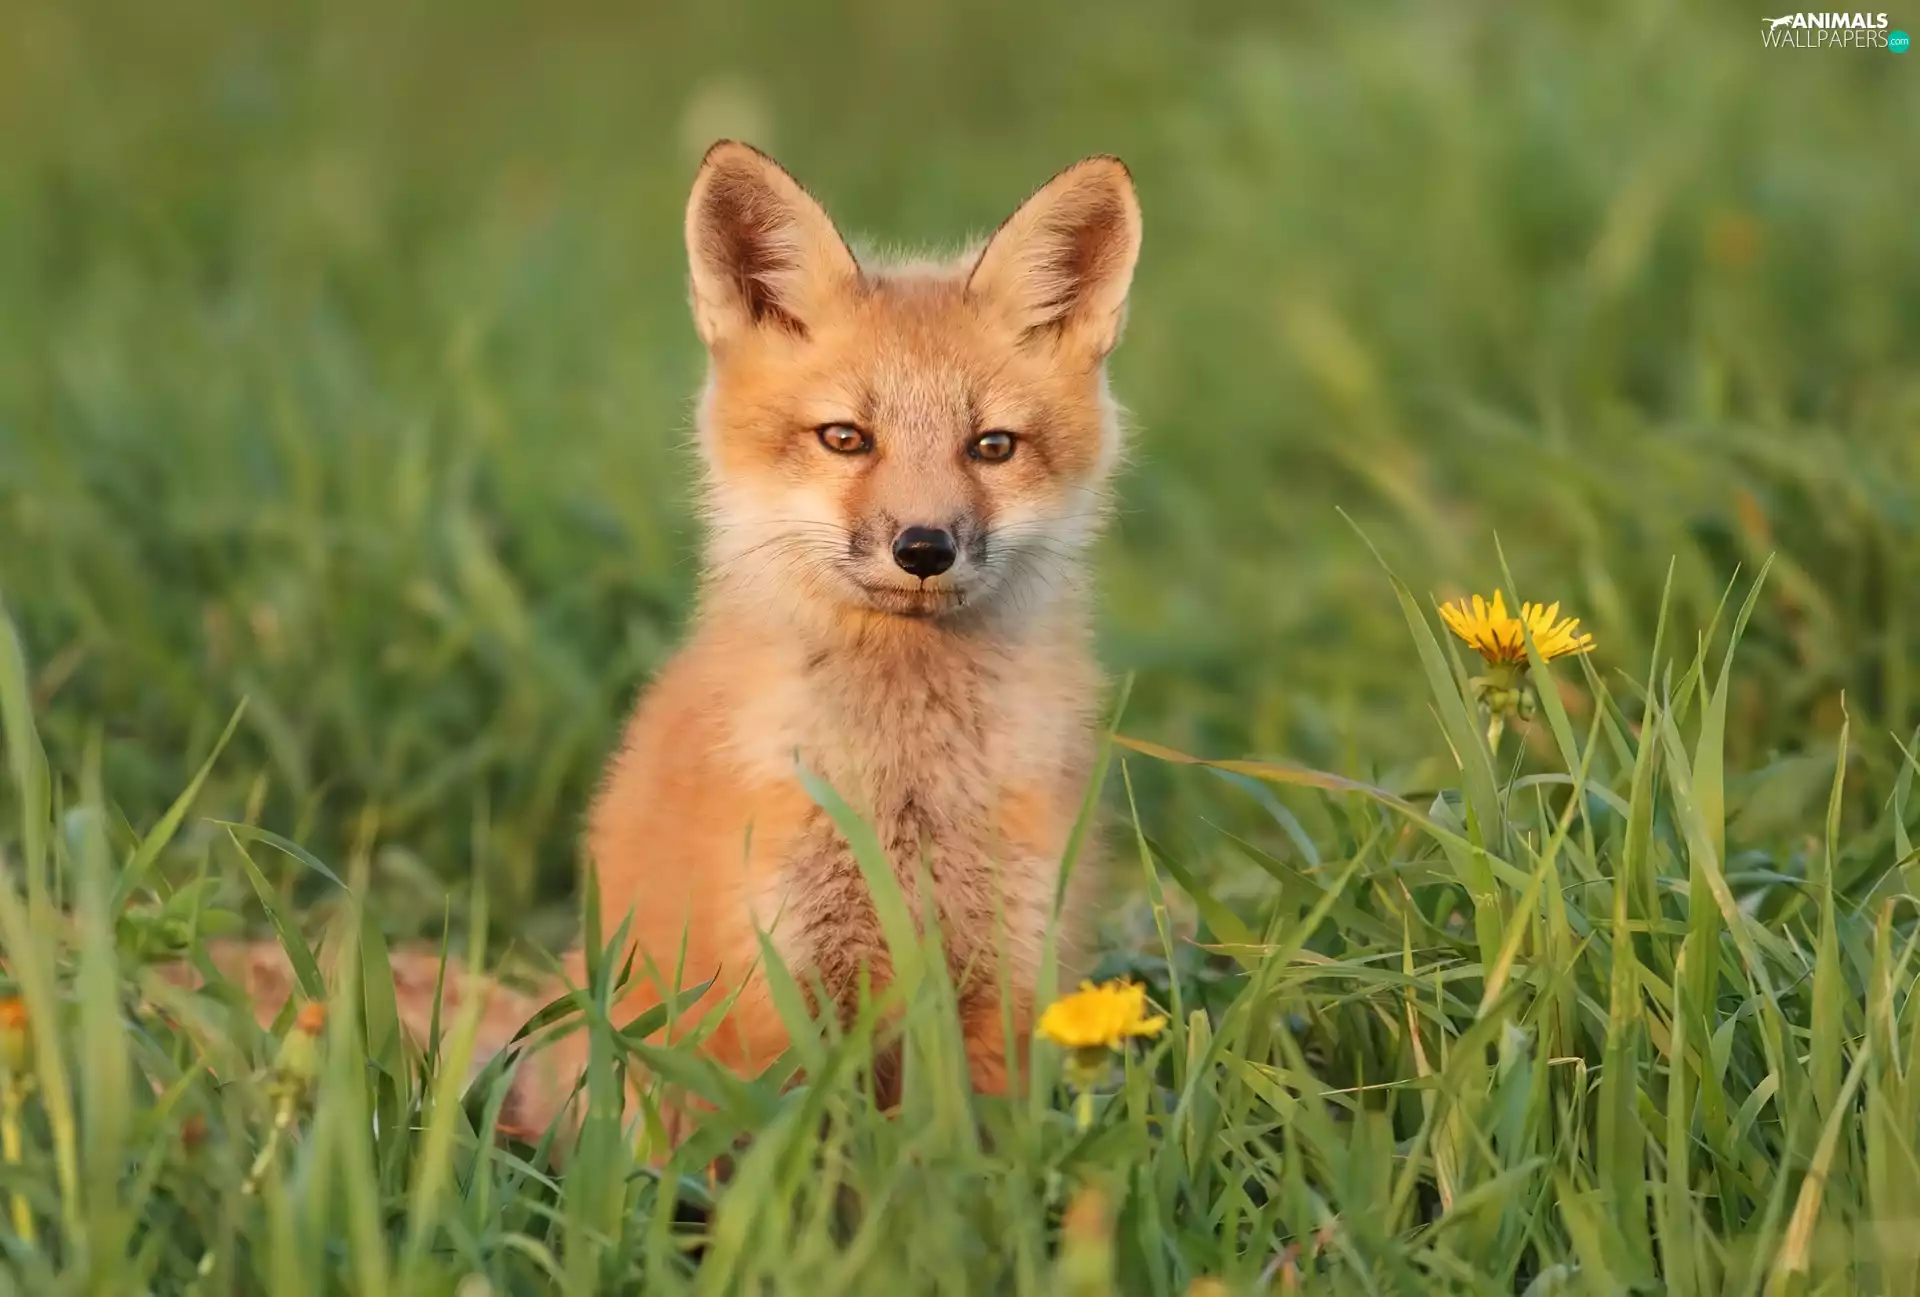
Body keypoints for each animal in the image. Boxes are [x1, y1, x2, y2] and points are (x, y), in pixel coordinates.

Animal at [175, 141, 1143, 1149]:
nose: (923, 548)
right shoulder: (770, 998)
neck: (903, 790)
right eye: (846, 437)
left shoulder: (1011, 985)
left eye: (992, 446)